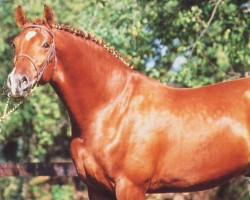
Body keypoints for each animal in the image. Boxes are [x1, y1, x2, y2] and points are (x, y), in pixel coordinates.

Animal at [7, 4, 250, 200]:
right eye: (14, 44)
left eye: (46, 44)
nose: (17, 82)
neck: (112, 108)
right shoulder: (96, 189)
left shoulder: (130, 187)